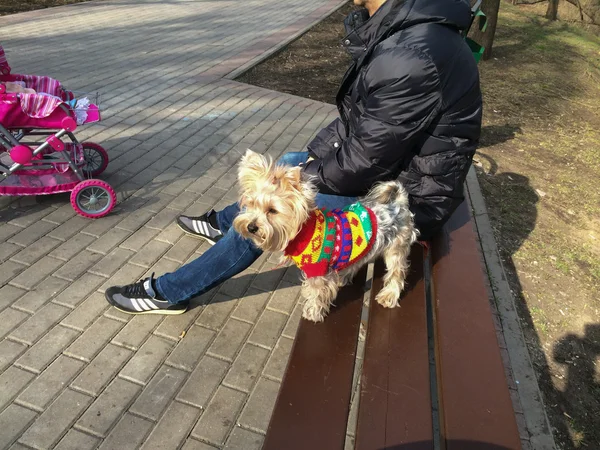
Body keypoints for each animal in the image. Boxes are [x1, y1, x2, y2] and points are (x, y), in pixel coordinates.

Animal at [233, 151, 418, 324]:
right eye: (251, 204)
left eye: (272, 210)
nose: (251, 227)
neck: (303, 231)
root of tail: (399, 203)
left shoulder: (318, 271)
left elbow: (317, 293)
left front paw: (313, 313)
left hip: (396, 248)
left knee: (397, 272)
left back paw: (389, 295)